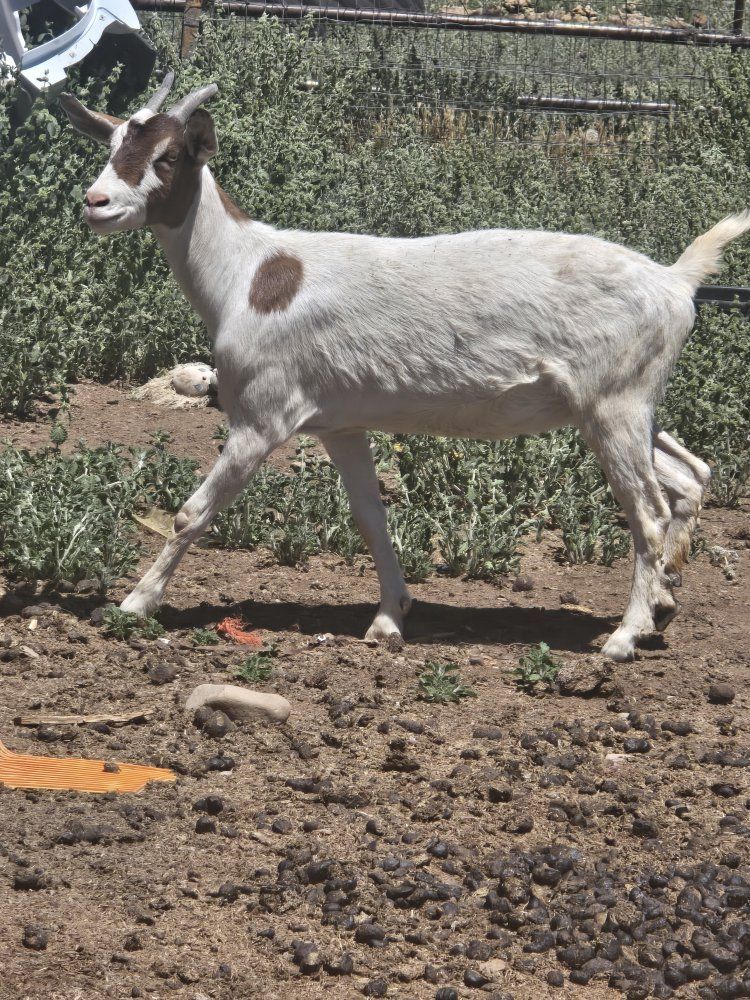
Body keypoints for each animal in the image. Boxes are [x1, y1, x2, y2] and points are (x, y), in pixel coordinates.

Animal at [59, 75, 748, 661]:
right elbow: (370, 517)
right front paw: (390, 616)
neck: (250, 275)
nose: (96, 203)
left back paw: (624, 637)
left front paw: (133, 603)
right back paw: (661, 603)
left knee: (648, 511)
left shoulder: (261, 418)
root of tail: (676, 281)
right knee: (690, 476)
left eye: (168, 157)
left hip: (614, 407)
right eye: (114, 143)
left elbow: (192, 511)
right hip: (618, 407)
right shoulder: (340, 425)